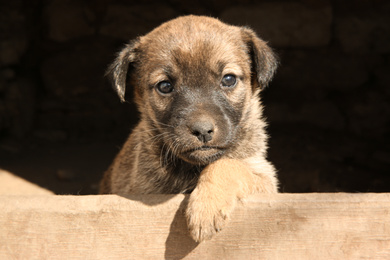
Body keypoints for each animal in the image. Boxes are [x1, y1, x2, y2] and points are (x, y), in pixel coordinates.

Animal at [100, 14, 278, 242]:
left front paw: (206, 209)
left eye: (228, 79)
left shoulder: (264, 178)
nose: (202, 130)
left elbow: (227, 165)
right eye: (164, 86)